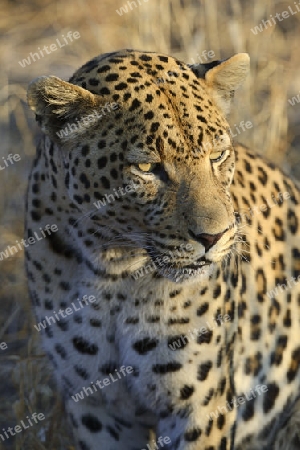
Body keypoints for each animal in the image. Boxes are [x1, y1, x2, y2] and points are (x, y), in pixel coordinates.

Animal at [24, 49, 300, 450]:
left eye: (217, 156)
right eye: (146, 167)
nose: (215, 236)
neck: (115, 271)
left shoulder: (200, 405)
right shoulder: (97, 407)